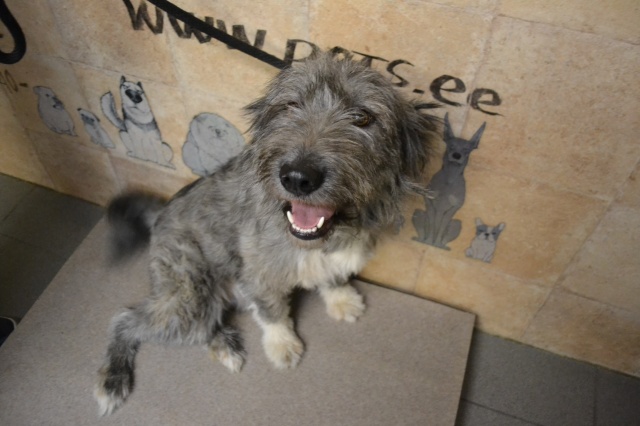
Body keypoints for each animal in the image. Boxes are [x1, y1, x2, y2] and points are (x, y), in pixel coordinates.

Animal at [94, 52, 439, 416]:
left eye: (362, 117)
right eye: (290, 105)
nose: (298, 177)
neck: (311, 240)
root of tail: (158, 215)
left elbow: (331, 276)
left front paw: (341, 298)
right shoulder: (260, 275)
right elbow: (273, 312)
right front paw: (282, 344)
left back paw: (224, 345)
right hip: (188, 300)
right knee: (125, 319)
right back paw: (113, 379)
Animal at [412, 113, 485, 250]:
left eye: (466, 150)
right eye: (451, 146)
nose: (456, 155)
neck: (449, 179)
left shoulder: (454, 208)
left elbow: (441, 226)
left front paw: (435, 243)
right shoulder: (429, 201)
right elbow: (432, 223)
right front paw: (429, 241)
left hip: (457, 224)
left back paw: (442, 246)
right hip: (418, 213)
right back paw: (422, 240)